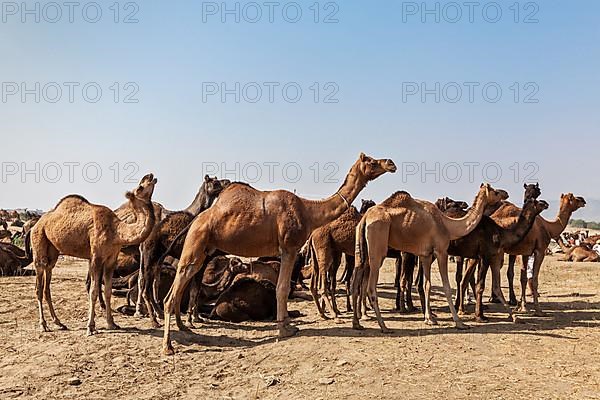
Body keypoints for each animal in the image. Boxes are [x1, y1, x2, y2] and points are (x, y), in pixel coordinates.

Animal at [28, 173, 157, 332]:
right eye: (140, 187)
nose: (150, 175)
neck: (117, 231)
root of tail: (36, 224)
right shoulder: (96, 257)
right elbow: (93, 291)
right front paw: (90, 327)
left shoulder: (111, 259)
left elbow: (107, 291)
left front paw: (112, 323)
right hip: (39, 240)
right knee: (39, 286)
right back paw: (43, 325)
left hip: (52, 252)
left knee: (47, 284)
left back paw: (59, 322)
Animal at [135, 175, 230, 324]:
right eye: (215, 182)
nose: (228, 182)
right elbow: (194, 290)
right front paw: (192, 318)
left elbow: (195, 289)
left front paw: (197, 317)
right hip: (150, 256)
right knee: (145, 284)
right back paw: (152, 317)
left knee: (149, 282)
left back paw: (156, 313)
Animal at [163, 152, 398, 354]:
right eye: (371, 160)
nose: (390, 163)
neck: (309, 211)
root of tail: (196, 220)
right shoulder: (289, 247)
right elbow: (283, 288)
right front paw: (285, 329)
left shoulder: (288, 251)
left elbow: (281, 287)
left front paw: (287, 324)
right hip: (196, 241)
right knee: (174, 290)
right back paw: (168, 346)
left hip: (203, 250)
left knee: (181, 285)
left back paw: (184, 328)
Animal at [352, 184, 506, 332]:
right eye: (495, 192)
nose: (506, 193)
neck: (449, 225)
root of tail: (365, 218)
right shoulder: (441, 251)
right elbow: (446, 287)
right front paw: (459, 323)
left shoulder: (425, 255)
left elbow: (427, 285)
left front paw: (429, 319)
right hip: (378, 244)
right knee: (371, 287)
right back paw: (384, 326)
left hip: (361, 249)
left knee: (357, 280)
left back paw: (357, 323)